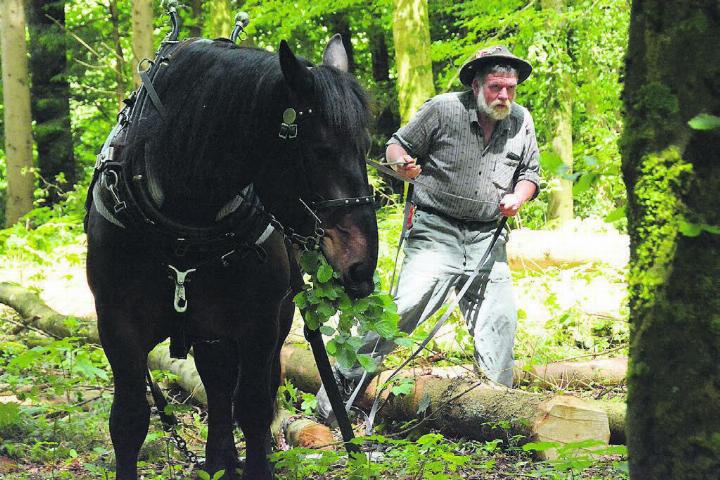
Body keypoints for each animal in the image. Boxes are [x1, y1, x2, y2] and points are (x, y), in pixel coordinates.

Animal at [87, 35, 380, 478]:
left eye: (365, 148)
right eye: (320, 150)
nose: (362, 266)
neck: (184, 224)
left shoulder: (258, 322)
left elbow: (255, 408)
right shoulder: (117, 324)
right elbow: (129, 419)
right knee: (217, 383)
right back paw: (218, 462)